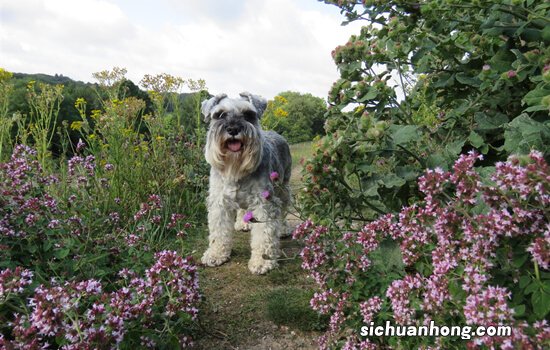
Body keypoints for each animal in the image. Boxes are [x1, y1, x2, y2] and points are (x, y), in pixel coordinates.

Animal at [199, 91, 294, 274]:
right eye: (219, 114)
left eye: (248, 114)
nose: (233, 129)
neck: (236, 168)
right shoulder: (219, 202)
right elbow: (218, 231)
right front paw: (216, 254)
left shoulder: (264, 201)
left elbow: (264, 234)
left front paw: (262, 262)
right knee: (243, 209)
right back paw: (242, 223)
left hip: (283, 187)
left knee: (284, 209)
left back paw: (284, 228)